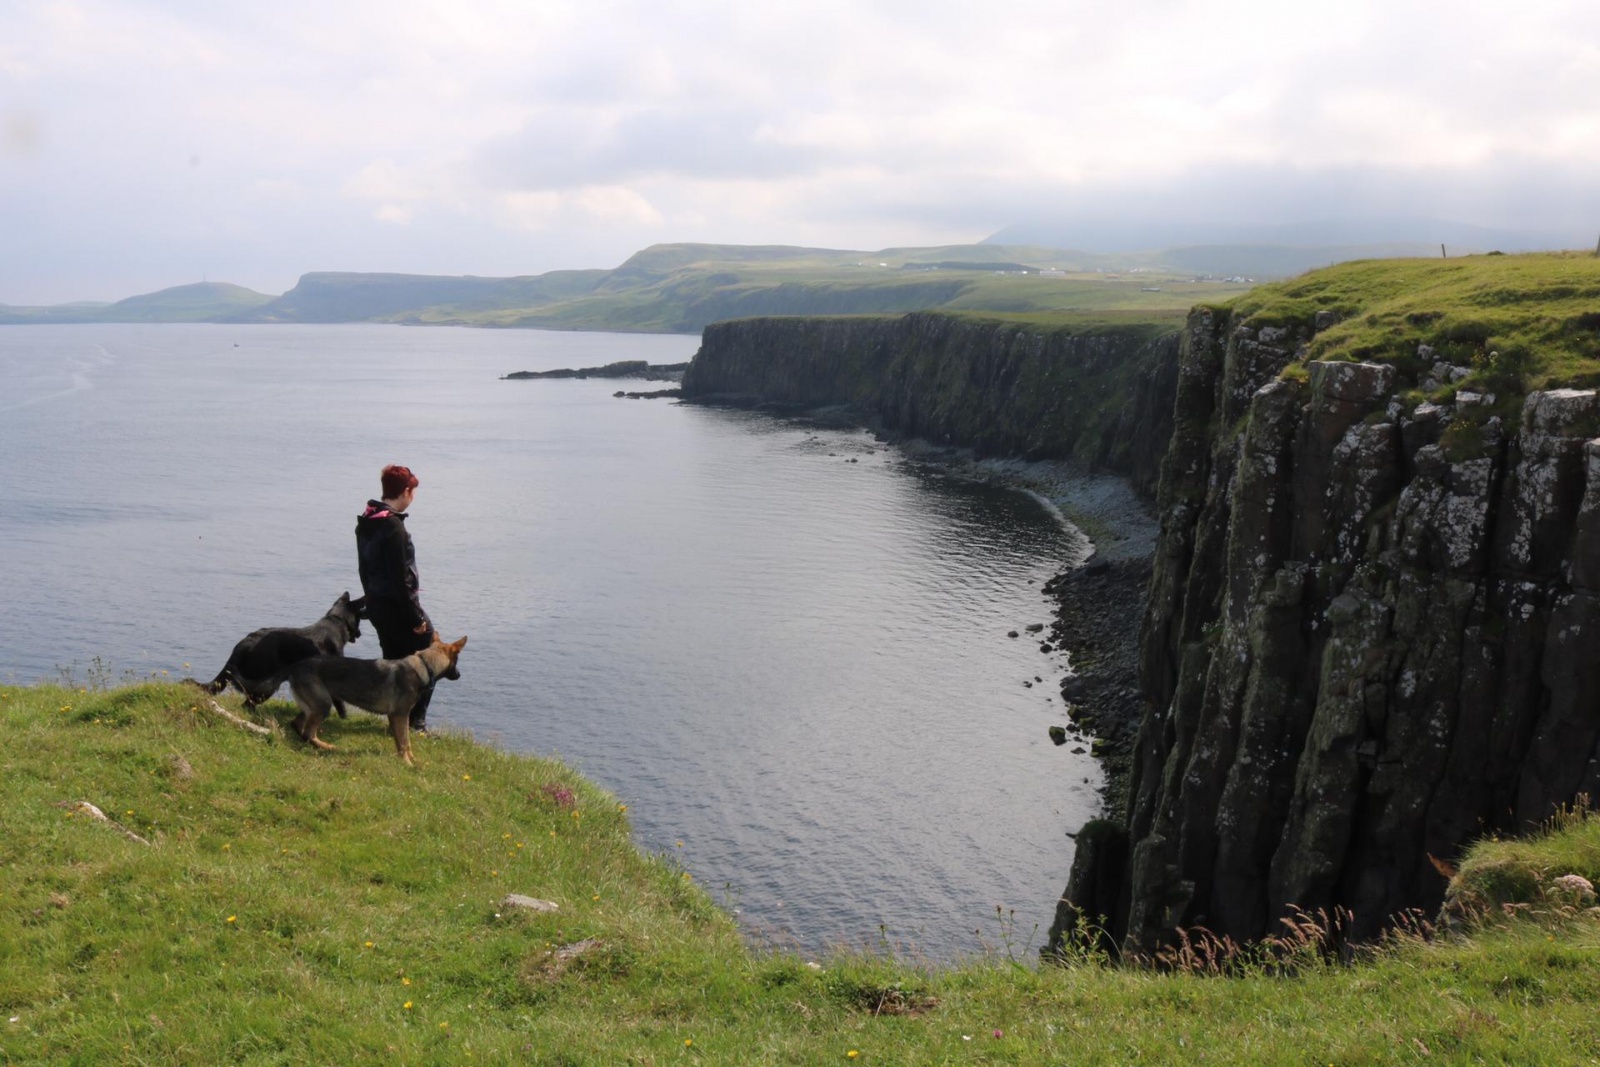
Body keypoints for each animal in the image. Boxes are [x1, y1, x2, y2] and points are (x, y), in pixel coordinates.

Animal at [198, 598, 366, 713]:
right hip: (265, 686)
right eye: (359, 620)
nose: (360, 634)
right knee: (247, 704)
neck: (337, 621)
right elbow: (339, 703)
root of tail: (245, 643)